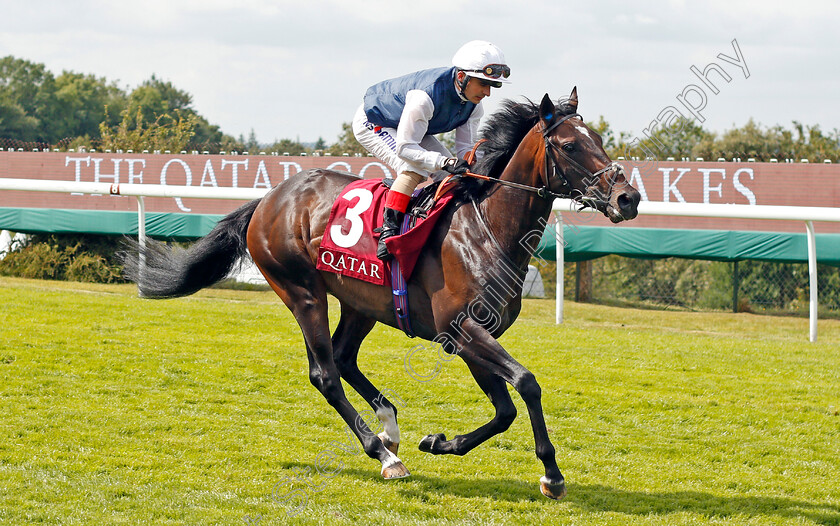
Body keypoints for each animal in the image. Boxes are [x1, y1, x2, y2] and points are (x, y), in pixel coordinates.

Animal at [121, 88, 640, 502]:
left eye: (599, 139)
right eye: (570, 145)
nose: (628, 198)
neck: (486, 229)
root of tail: (268, 199)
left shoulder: (469, 335)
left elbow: (505, 408)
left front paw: (440, 442)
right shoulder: (462, 328)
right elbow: (527, 384)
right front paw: (551, 474)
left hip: (361, 303)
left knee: (344, 357)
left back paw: (390, 426)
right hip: (302, 291)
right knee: (325, 373)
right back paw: (382, 453)